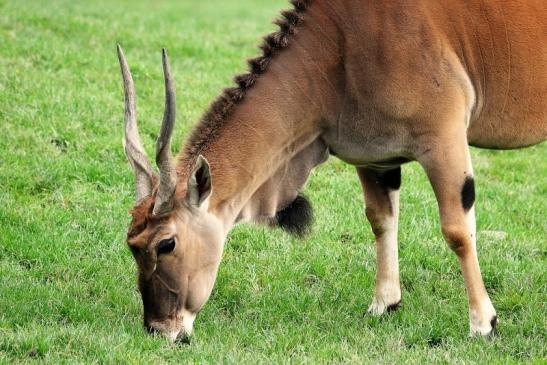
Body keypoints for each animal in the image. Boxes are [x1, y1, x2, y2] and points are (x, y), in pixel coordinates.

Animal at [117, 0, 547, 342]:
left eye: (166, 244)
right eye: (132, 245)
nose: (158, 329)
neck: (336, 48)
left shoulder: (445, 139)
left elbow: (457, 230)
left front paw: (483, 324)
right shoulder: (376, 157)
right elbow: (381, 219)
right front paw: (384, 304)